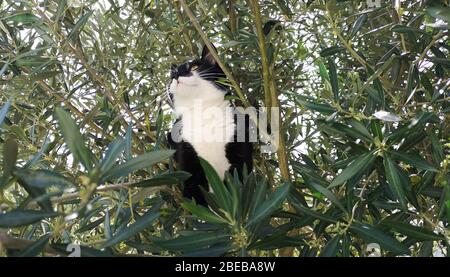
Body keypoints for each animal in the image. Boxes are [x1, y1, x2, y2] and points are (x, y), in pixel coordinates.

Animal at [167, 44, 253, 205]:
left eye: (194, 66)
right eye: (172, 75)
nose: (176, 75)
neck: (204, 114)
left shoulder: (239, 152)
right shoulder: (187, 158)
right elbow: (194, 193)